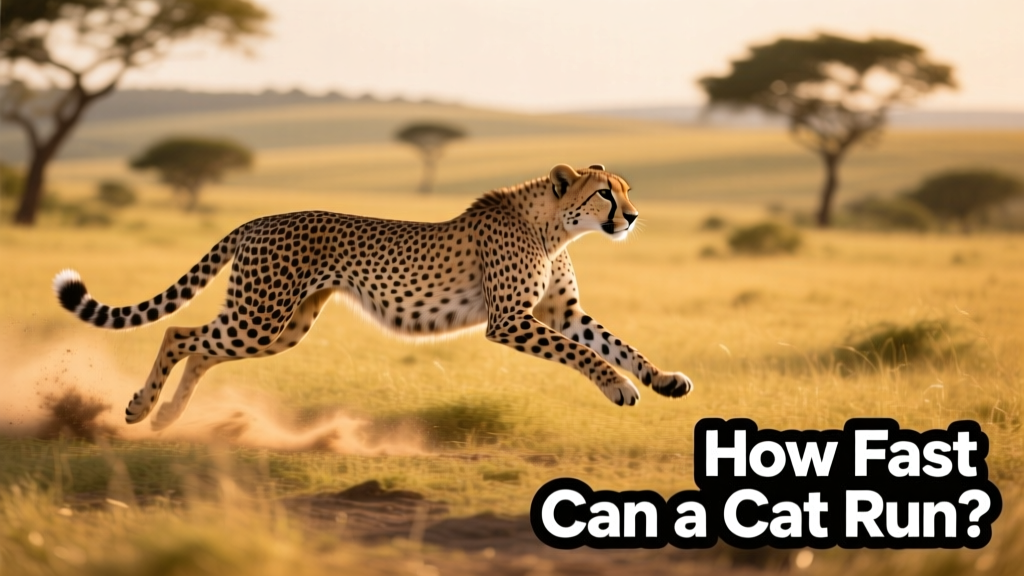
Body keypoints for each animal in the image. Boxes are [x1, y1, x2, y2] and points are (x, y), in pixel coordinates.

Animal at [53, 163, 693, 430]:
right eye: (606, 194)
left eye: (625, 191)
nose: (634, 216)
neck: (553, 225)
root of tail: (260, 218)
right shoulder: (511, 320)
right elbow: (585, 353)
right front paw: (620, 388)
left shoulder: (561, 311)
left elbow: (615, 342)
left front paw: (663, 379)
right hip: (260, 317)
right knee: (178, 332)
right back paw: (140, 408)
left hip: (281, 327)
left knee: (202, 348)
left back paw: (169, 417)